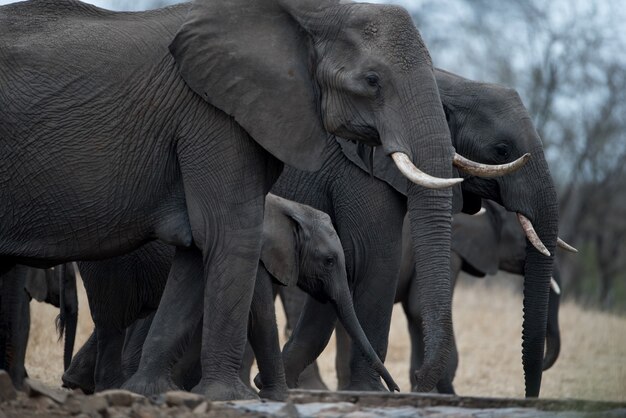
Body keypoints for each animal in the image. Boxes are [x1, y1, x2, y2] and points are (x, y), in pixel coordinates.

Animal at [62, 194, 394, 400]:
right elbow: (259, 313)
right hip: (111, 268)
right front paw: (277, 396)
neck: (291, 208)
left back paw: (81, 384)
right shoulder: (254, 255)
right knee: (113, 321)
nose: (395, 389)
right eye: (328, 260)